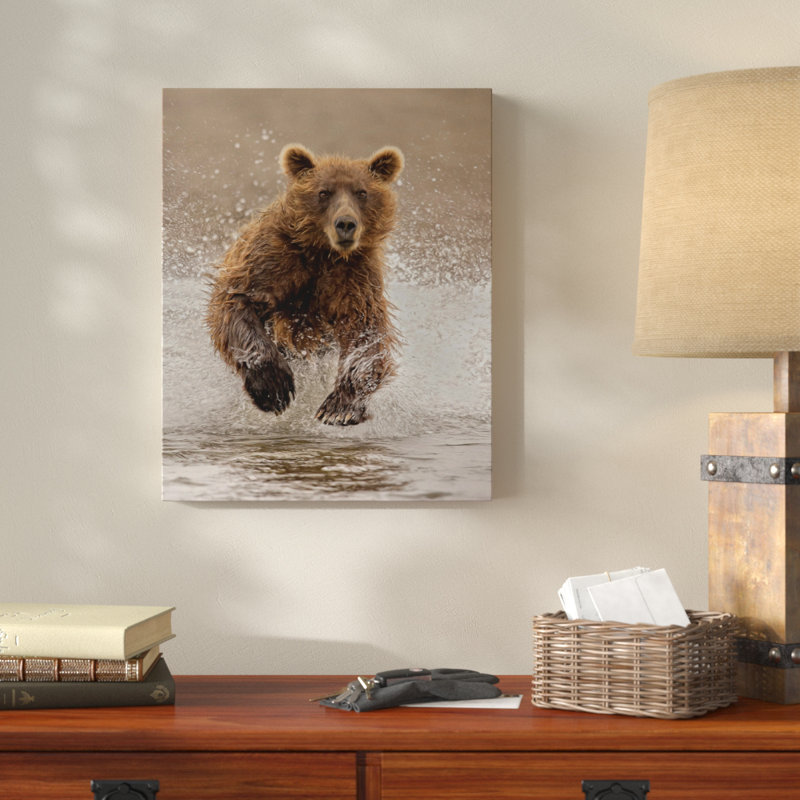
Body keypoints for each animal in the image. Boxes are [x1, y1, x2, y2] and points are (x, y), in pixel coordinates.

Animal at [207, 143, 404, 426]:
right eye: (323, 192)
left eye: (362, 192)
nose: (346, 223)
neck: (324, 252)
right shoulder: (274, 260)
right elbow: (238, 301)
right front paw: (274, 388)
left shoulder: (354, 277)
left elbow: (365, 332)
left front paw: (339, 408)